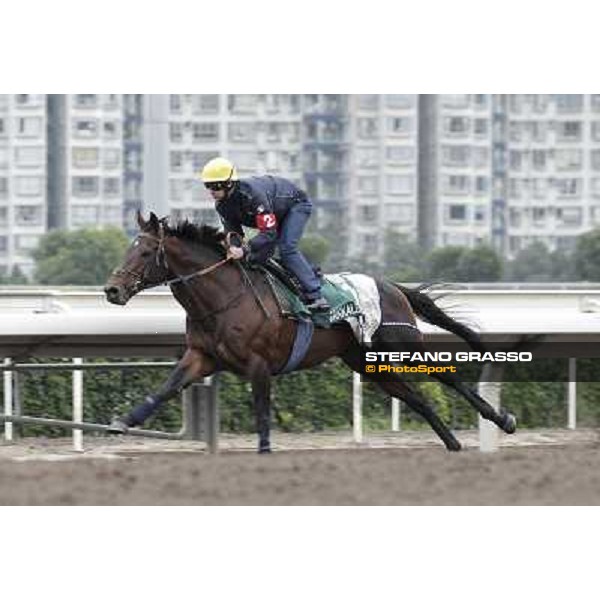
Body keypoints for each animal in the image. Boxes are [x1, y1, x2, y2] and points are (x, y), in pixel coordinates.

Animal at [103, 213, 516, 452]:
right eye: (127, 249)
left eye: (143, 253)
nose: (112, 290)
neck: (224, 298)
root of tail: (394, 287)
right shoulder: (201, 357)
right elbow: (166, 388)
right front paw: (122, 422)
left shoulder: (258, 364)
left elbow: (262, 411)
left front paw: (264, 451)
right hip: (367, 363)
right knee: (418, 398)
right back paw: (453, 445)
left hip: (402, 346)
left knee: (448, 377)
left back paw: (501, 420)